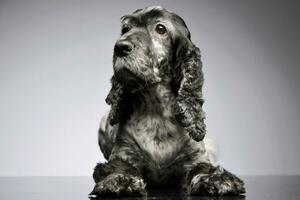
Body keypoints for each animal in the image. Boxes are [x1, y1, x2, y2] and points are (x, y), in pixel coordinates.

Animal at [90, 5, 245, 198]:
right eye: (125, 29)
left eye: (160, 28)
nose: (120, 47)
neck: (155, 108)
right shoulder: (123, 153)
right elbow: (117, 167)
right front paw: (119, 180)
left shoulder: (195, 157)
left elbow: (204, 168)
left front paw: (218, 179)